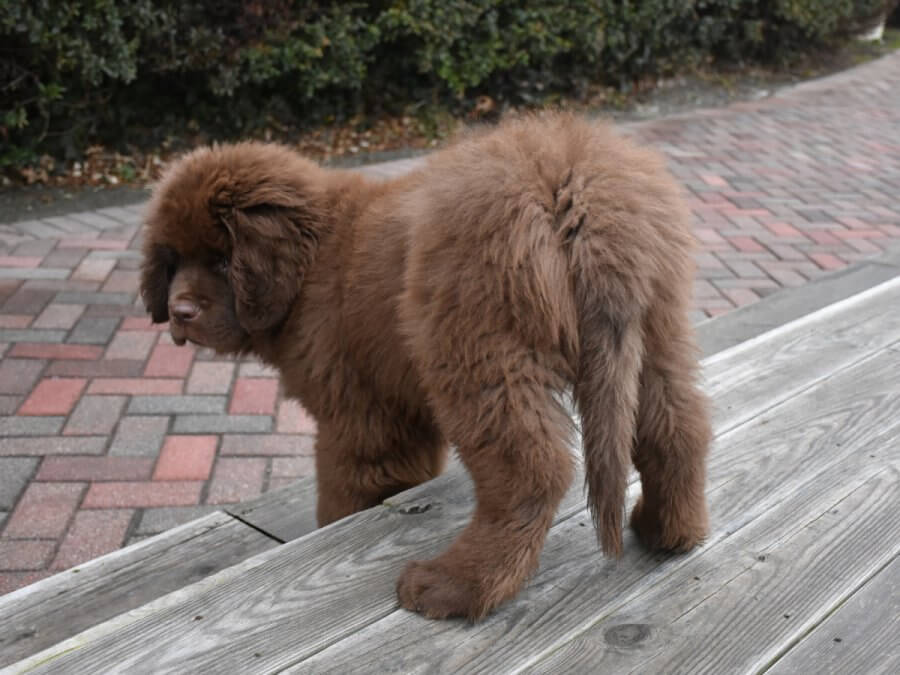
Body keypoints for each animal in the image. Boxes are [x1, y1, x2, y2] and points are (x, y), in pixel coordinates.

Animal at [139, 112, 712, 624]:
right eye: (172, 261)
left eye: (221, 261)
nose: (180, 314)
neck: (313, 260)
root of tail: (575, 188)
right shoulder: (400, 410)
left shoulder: (357, 415)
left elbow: (345, 489)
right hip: (658, 331)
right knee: (675, 428)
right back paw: (668, 531)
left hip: (477, 353)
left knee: (532, 471)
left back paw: (457, 586)